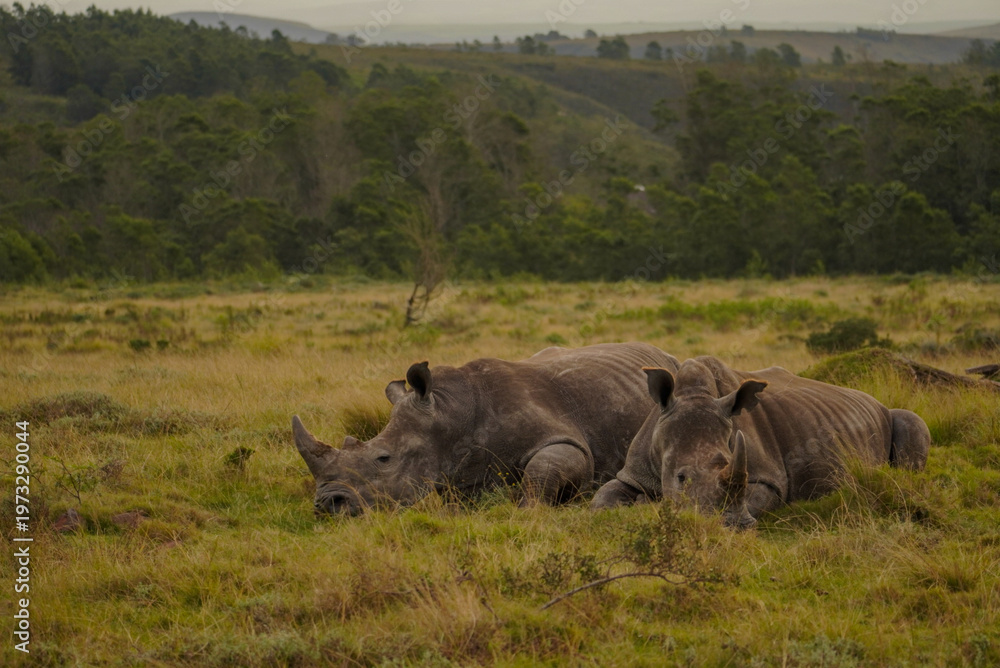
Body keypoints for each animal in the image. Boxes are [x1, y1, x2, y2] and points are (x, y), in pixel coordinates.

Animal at [293, 342, 679, 515]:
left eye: (383, 458)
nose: (328, 505)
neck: (450, 414)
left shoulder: (565, 439)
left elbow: (545, 466)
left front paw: (527, 510)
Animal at [591, 355, 930, 528]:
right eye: (680, 477)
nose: (735, 526)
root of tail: (874, 400)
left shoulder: (770, 479)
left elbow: (759, 494)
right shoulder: (635, 471)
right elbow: (602, 501)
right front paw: (642, 502)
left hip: (890, 416)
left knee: (909, 421)